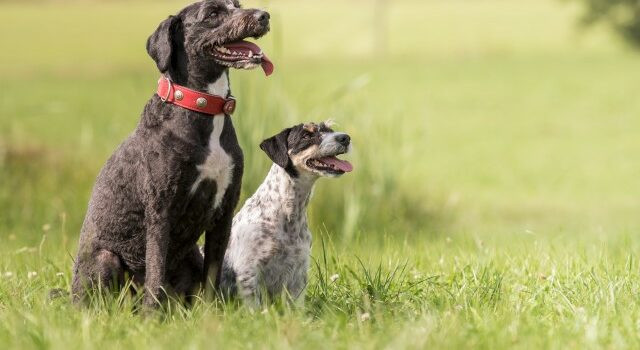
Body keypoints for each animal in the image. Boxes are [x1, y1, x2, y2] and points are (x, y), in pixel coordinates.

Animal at [72, 0, 272, 308]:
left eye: (236, 5)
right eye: (213, 13)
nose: (264, 15)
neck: (202, 106)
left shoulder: (224, 210)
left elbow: (213, 273)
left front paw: (212, 312)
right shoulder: (160, 210)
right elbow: (155, 270)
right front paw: (151, 316)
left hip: (191, 256)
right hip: (105, 260)